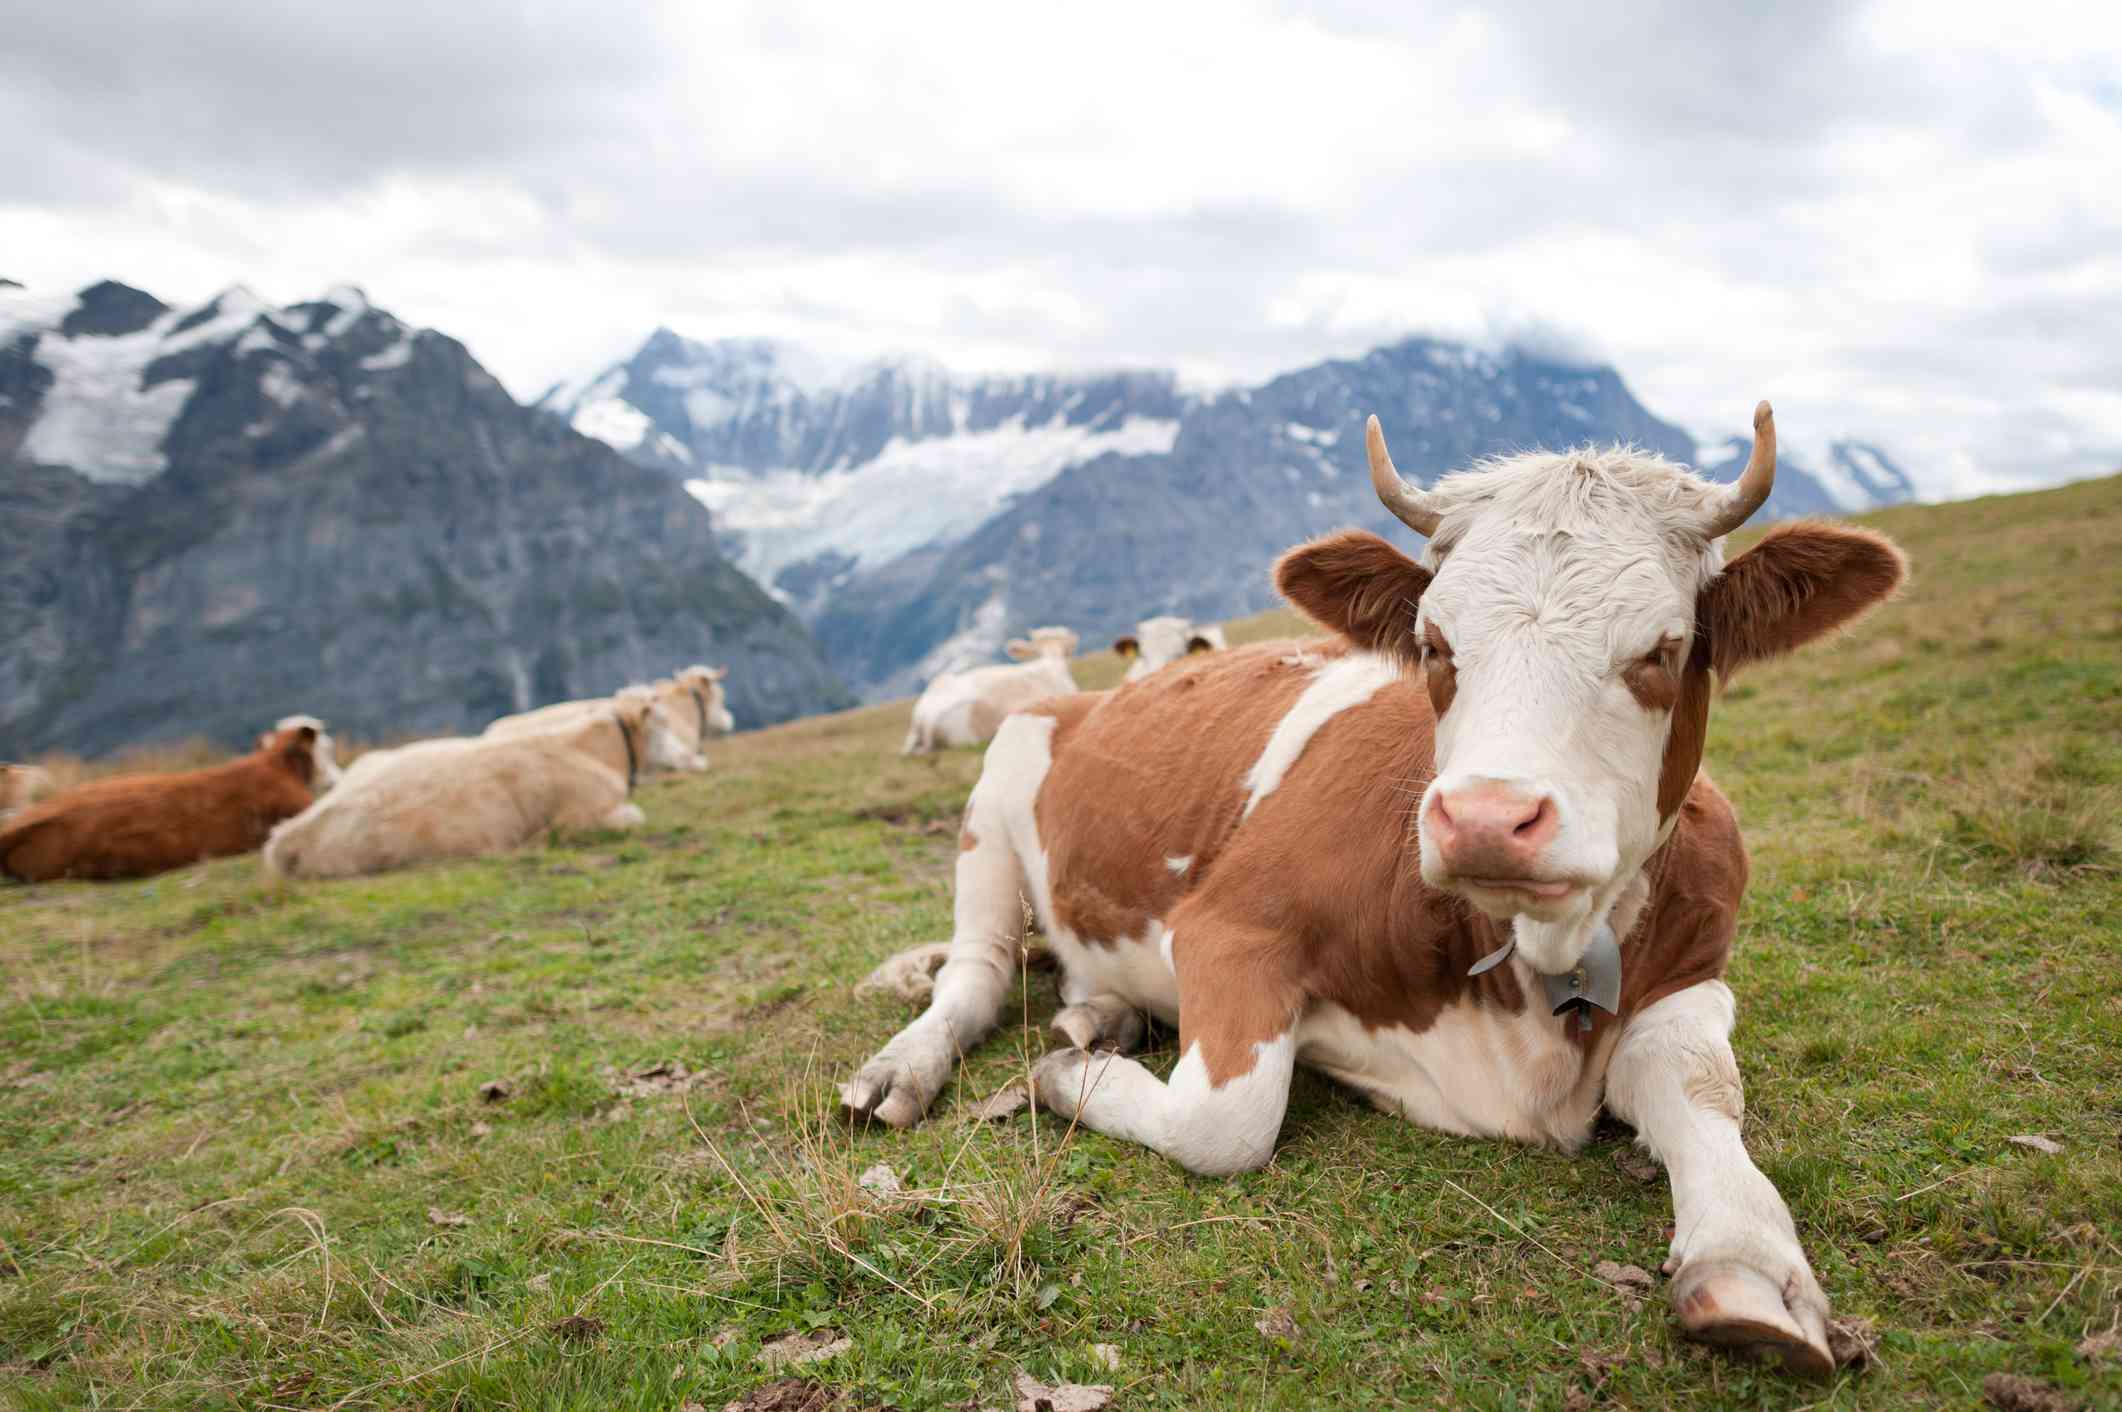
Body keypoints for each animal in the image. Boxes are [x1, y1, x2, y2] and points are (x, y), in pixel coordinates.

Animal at [262, 683, 696, 874]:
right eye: (661, 721)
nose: (694, 757)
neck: (590, 750)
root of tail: (288, 836)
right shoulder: (582, 816)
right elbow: (634, 816)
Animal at [844, 407, 1909, 1375]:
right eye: (1435, 644)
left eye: (1664, 647)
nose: (1485, 818)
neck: (1529, 977)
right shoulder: (1227, 925)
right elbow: (1225, 1122)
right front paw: (1067, 1082)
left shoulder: (1698, 965)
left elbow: (1696, 1083)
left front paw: (1749, 1260)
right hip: (996, 794)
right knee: (976, 974)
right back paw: (910, 1068)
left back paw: (1096, 1018)